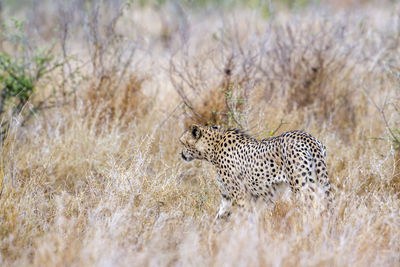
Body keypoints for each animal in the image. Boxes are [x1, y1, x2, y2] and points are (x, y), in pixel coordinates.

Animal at [180, 124, 332, 219]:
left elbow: (243, 216)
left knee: (311, 207)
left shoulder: (240, 196)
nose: (181, 154)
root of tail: (307, 137)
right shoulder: (228, 198)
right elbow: (220, 217)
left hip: (301, 187)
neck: (214, 146)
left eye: (182, 142)